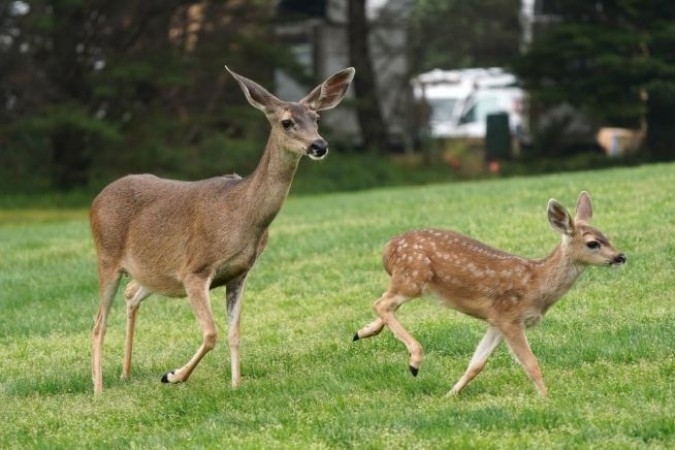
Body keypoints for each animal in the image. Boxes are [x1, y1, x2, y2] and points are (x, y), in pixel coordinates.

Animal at [90, 65, 356, 392]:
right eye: (286, 122)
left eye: (316, 119)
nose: (319, 145)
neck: (243, 216)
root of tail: (96, 200)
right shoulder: (194, 270)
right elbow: (211, 334)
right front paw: (173, 375)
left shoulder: (240, 272)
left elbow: (234, 332)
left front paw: (236, 384)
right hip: (107, 256)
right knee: (98, 323)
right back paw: (99, 389)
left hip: (151, 272)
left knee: (130, 294)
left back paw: (125, 373)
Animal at [356, 192, 624, 396]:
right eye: (593, 243)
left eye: (607, 237)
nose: (620, 256)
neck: (536, 283)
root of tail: (387, 249)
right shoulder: (510, 316)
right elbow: (531, 363)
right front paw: (546, 397)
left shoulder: (496, 321)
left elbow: (477, 364)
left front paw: (450, 394)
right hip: (413, 277)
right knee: (381, 303)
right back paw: (414, 361)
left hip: (409, 282)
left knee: (386, 303)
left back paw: (362, 332)